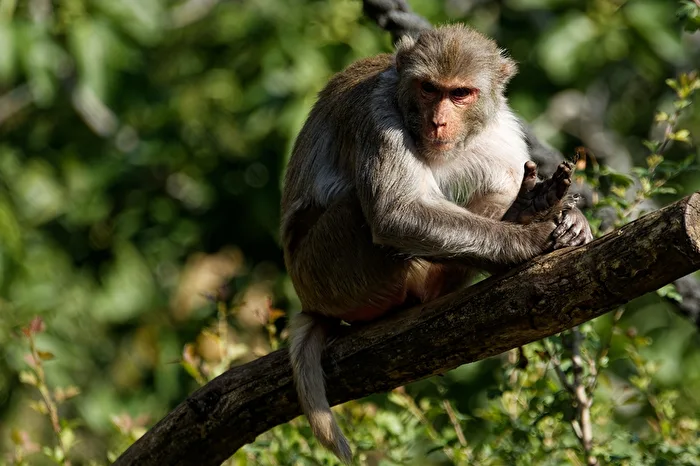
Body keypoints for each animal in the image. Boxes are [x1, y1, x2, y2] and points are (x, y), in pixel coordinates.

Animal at [280, 24, 592, 463]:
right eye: (429, 89)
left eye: (460, 93)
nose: (439, 122)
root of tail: (308, 299)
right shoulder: (378, 117)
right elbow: (397, 214)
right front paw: (528, 239)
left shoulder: (500, 126)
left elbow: (498, 187)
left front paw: (546, 213)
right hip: (327, 273)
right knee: (357, 208)